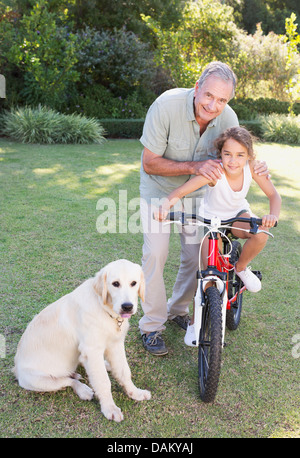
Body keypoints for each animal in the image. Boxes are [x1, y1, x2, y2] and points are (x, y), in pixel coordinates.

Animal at [13, 258, 151, 422]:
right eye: (115, 283)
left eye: (134, 283)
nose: (127, 307)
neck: (104, 308)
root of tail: (15, 368)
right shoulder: (92, 350)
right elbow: (103, 381)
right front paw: (109, 408)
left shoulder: (115, 345)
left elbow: (124, 372)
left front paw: (135, 393)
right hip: (39, 381)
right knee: (68, 381)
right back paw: (83, 389)